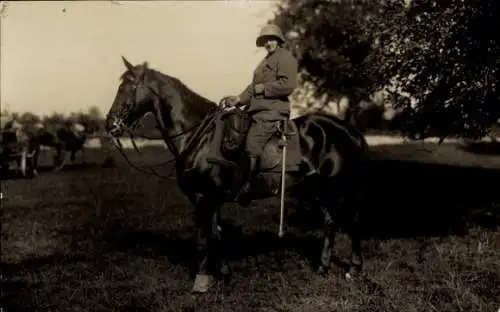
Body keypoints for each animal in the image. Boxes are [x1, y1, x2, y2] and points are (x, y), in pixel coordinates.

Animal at [105, 57, 372, 294]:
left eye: (126, 87)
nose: (110, 125)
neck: (197, 136)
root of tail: (349, 130)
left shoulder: (203, 198)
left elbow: (203, 239)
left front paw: (201, 280)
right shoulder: (210, 199)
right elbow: (216, 235)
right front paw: (223, 275)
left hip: (338, 188)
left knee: (353, 222)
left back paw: (353, 269)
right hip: (316, 189)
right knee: (330, 222)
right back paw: (323, 268)